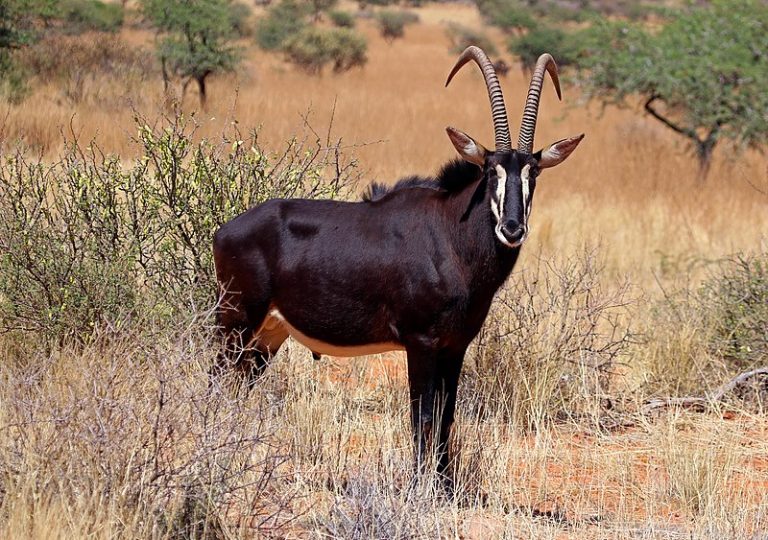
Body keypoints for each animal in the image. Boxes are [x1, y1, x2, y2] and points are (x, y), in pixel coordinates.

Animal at [212, 47, 584, 476]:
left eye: (533, 173)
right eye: (492, 171)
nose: (511, 228)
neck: (451, 236)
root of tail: (224, 231)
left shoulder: (455, 346)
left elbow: (446, 417)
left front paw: (444, 484)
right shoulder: (420, 342)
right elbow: (421, 417)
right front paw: (421, 485)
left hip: (267, 334)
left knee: (240, 385)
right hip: (235, 321)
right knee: (218, 381)